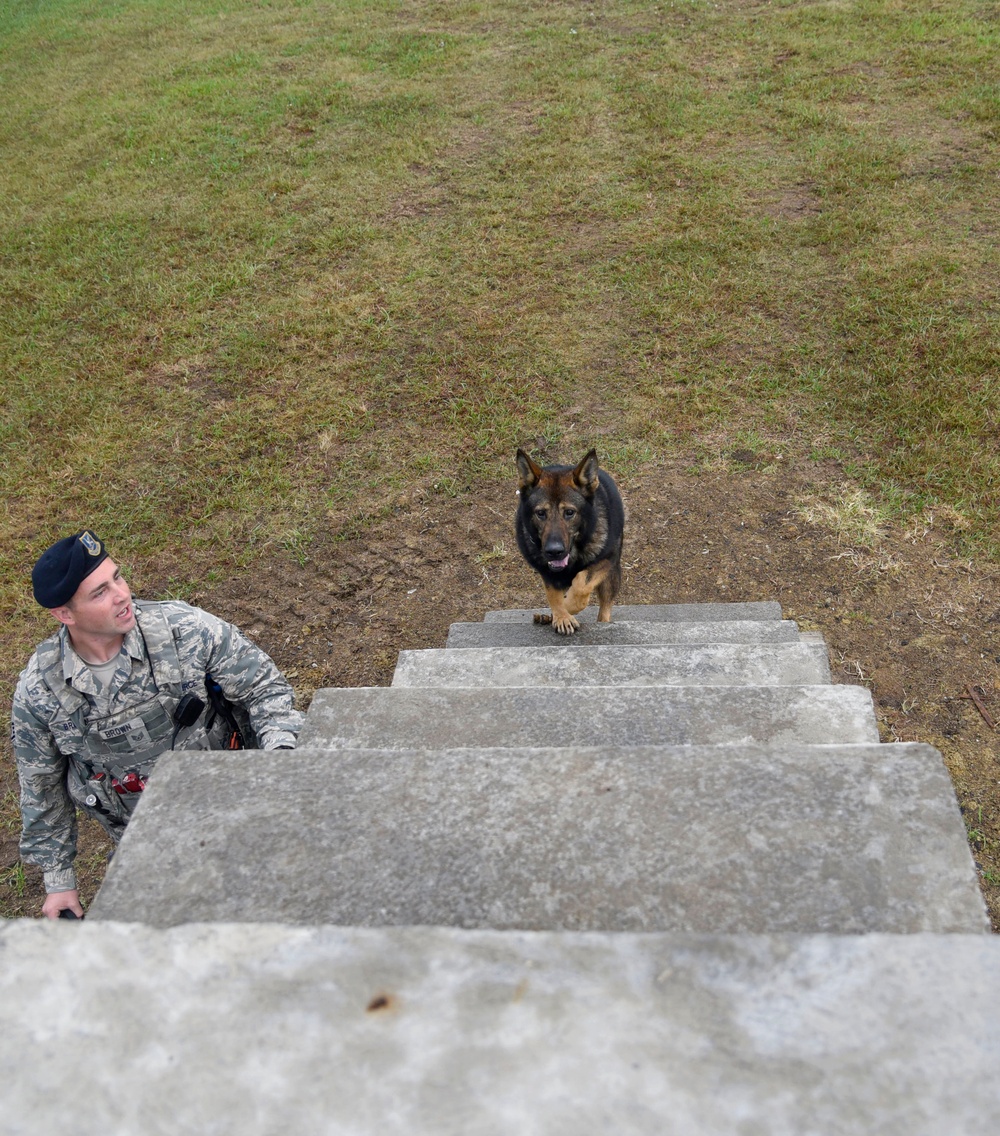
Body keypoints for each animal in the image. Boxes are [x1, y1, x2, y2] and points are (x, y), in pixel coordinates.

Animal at [515, 447, 627, 636]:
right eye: (540, 513)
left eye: (569, 512)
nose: (554, 551)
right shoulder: (548, 573)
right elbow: (554, 596)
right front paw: (560, 616)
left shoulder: (605, 561)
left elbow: (581, 586)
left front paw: (563, 611)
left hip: (611, 576)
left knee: (605, 609)